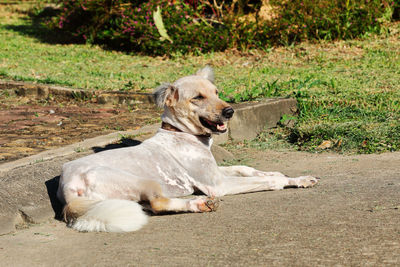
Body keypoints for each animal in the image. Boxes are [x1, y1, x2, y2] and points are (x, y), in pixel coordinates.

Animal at [57, 67, 318, 232]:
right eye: (198, 97)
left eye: (216, 93)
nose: (230, 111)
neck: (182, 133)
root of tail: (68, 183)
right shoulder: (218, 185)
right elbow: (266, 181)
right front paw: (286, 180)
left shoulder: (215, 172)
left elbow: (247, 168)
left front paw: (293, 176)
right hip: (143, 181)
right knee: (157, 204)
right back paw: (198, 203)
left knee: (151, 206)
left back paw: (198, 204)